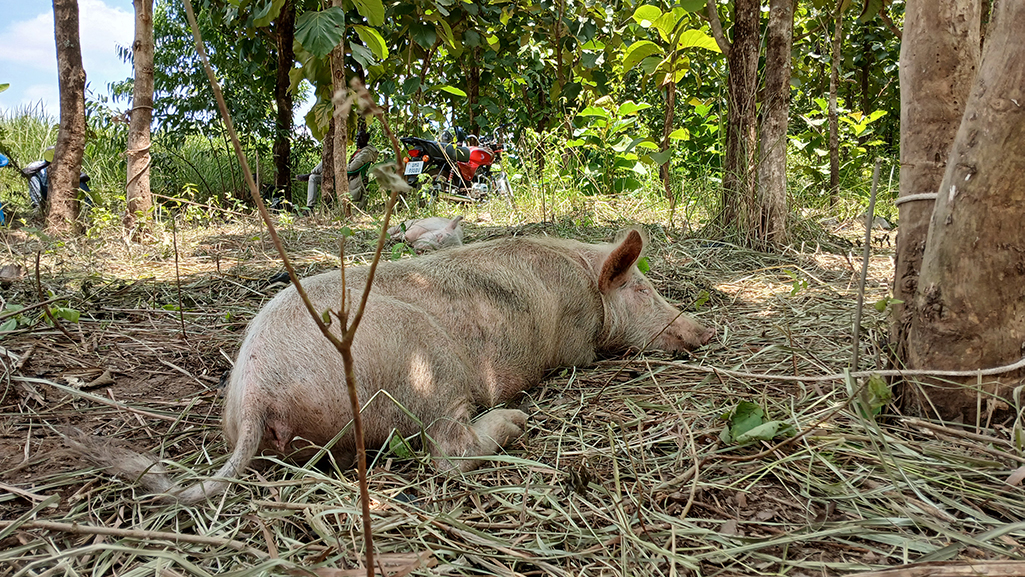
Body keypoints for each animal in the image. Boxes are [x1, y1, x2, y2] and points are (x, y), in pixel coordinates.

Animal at [69, 228, 714, 504]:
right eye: (645, 290)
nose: (704, 332)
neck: (584, 280)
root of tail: (256, 393)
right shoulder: (578, 344)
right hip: (423, 363)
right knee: (447, 450)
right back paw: (515, 423)